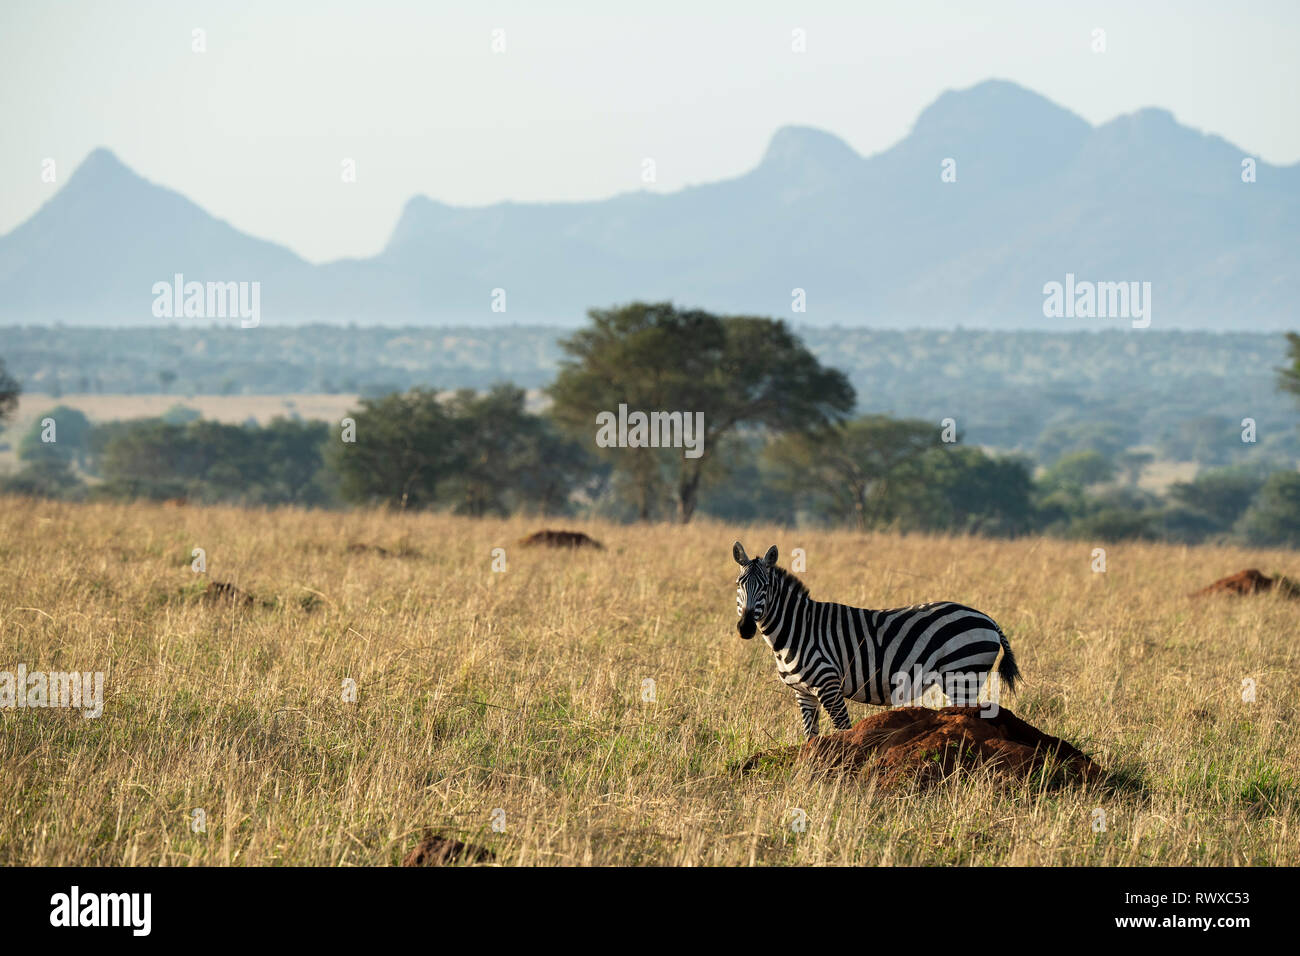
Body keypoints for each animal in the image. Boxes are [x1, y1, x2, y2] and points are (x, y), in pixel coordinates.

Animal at [733, 538, 1013, 738]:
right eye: (738, 585)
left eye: (766, 587)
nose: (745, 628)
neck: (797, 630)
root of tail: (988, 619)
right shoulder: (803, 693)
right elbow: (810, 738)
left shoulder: (829, 685)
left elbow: (843, 730)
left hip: (962, 675)